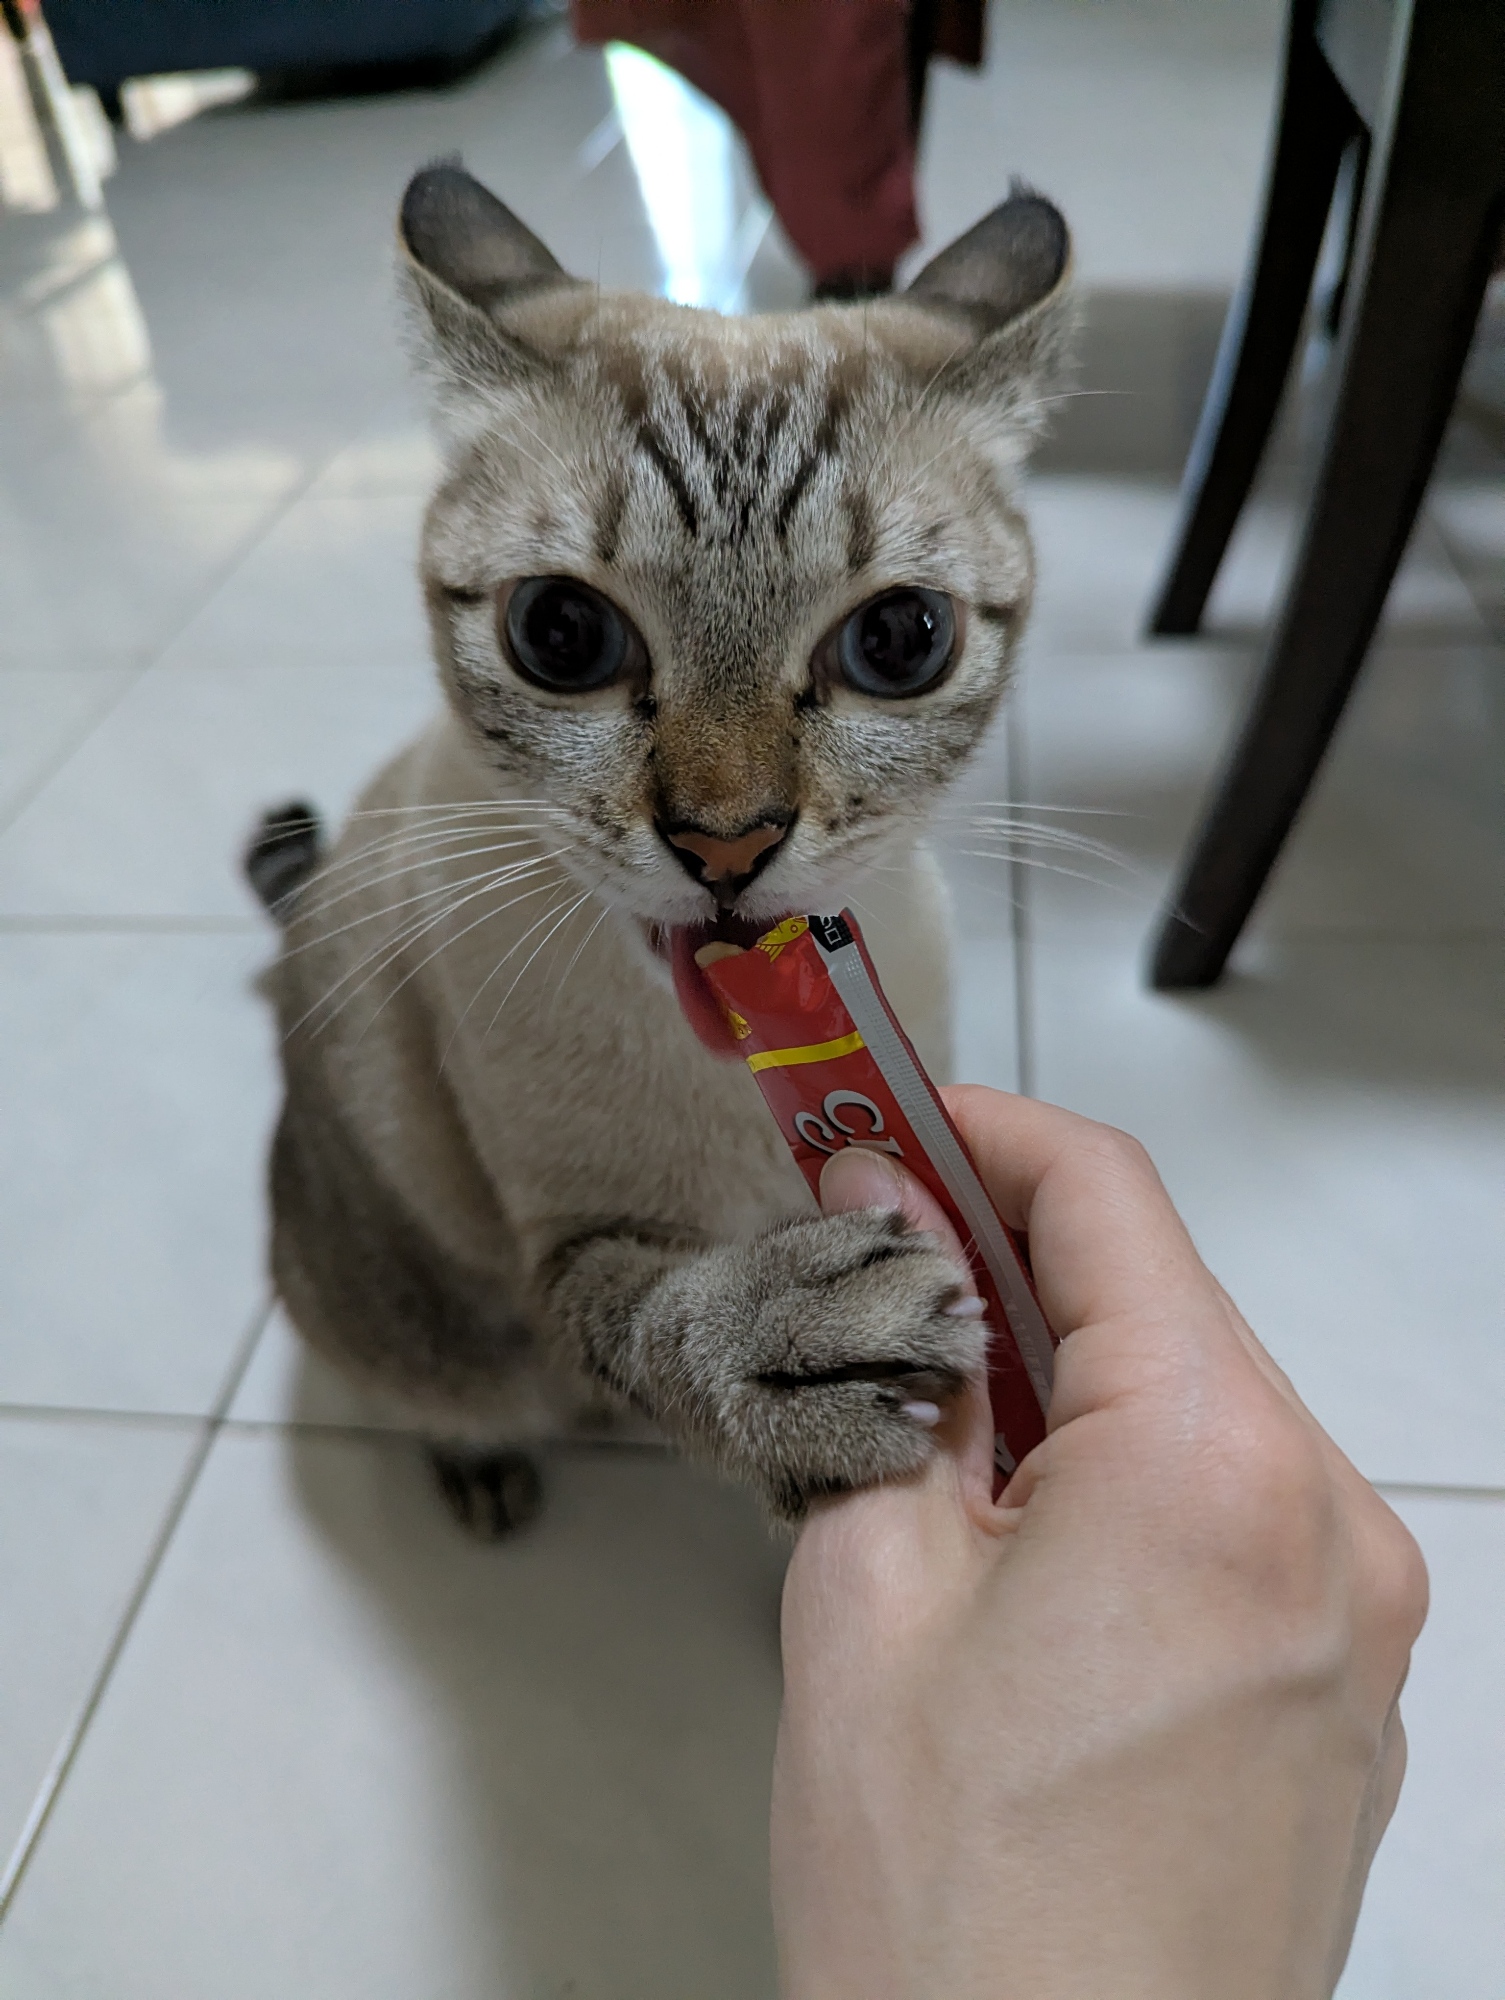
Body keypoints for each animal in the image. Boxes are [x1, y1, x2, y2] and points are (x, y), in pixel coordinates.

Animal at [247, 161, 1072, 1535]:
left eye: (899, 641)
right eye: (561, 632)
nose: (726, 843)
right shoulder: (566, 1244)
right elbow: (646, 1320)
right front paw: (777, 1342)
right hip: (405, 1313)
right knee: (453, 1382)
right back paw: (480, 1463)